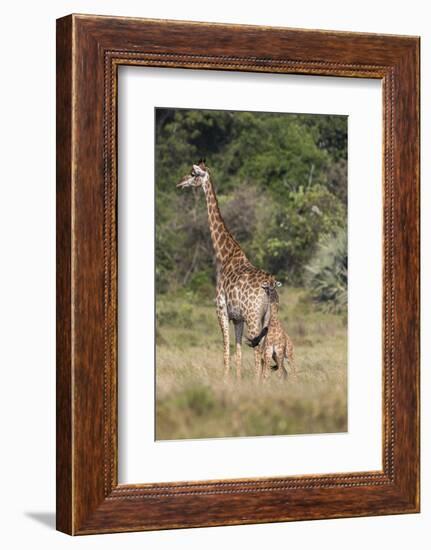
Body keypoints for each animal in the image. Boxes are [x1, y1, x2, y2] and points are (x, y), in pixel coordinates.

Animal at [176, 162, 280, 382]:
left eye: (193, 174)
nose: (179, 182)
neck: (224, 255)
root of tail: (269, 286)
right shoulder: (237, 318)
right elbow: (238, 351)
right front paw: (238, 380)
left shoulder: (221, 310)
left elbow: (226, 349)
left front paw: (225, 380)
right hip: (268, 316)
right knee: (264, 349)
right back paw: (264, 381)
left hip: (253, 317)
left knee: (258, 350)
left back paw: (258, 383)